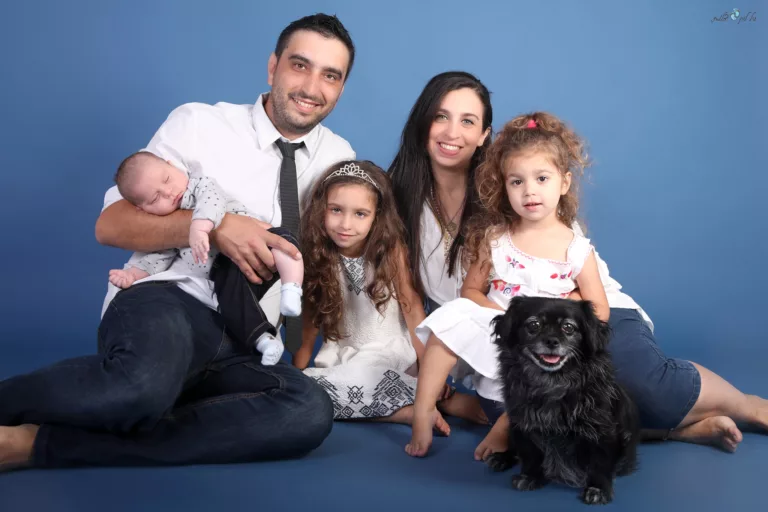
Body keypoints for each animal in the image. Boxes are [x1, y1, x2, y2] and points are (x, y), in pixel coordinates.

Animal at [485, 296, 640, 505]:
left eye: (568, 327)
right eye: (533, 325)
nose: (552, 341)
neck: (552, 384)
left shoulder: (603, 430)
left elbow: (600, 462)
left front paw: (598, 488)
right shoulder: (524, 424)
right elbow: (531, 454)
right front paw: (530, 476)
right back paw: (502, 458)